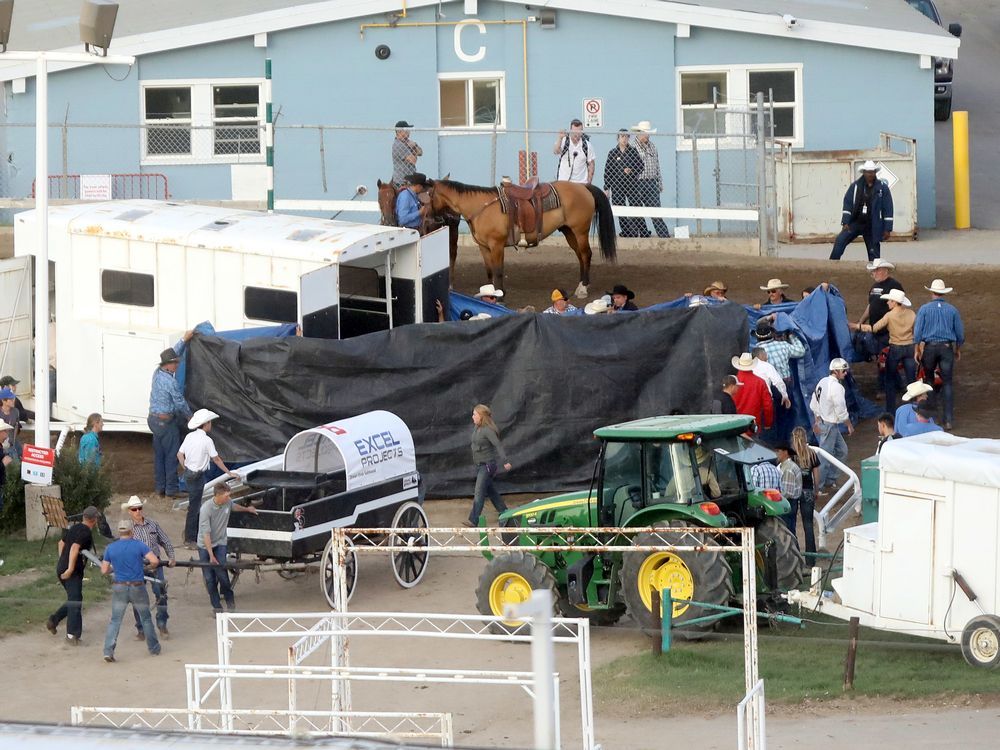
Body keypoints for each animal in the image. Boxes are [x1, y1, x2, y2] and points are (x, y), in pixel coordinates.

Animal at [424, 179, 612, 300]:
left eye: (428, 195)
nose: (425, 217)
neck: (482, 208)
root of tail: (583, 186)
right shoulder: (484, 247)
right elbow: (489, 271)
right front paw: (488, 292)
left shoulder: (496, 245)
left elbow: (498, 271)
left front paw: (500, 295)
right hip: (569, 232)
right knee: (580, 256)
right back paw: (580, 286)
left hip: (580, 231)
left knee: (586, 255)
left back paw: (583, 289)